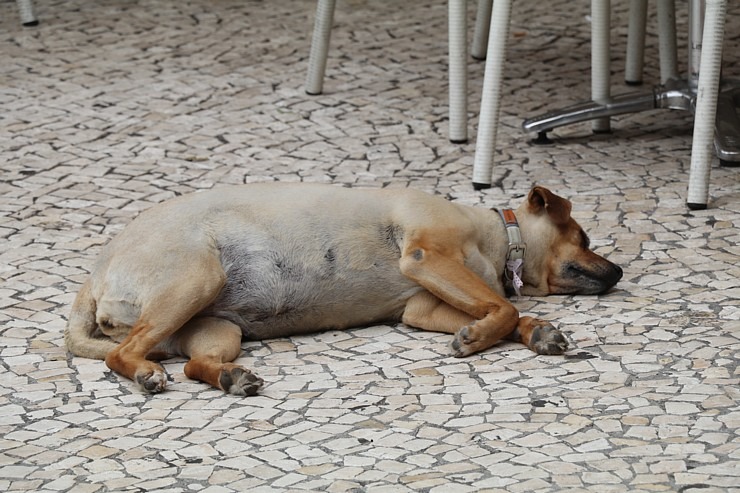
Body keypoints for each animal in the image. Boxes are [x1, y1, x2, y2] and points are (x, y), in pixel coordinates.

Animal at [63, 183, 620, 394]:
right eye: (584, 238)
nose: (616, 272)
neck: (497, 238)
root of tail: (95, 274)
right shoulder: (427, 257)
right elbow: (501, 308)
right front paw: (482, 337)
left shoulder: (422, 307)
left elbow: (504, 311)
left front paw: (535, 332)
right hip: (196, 281)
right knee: (121, 356)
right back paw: (147, 374)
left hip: (215, 329)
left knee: (195, 365)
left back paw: (230, 378)